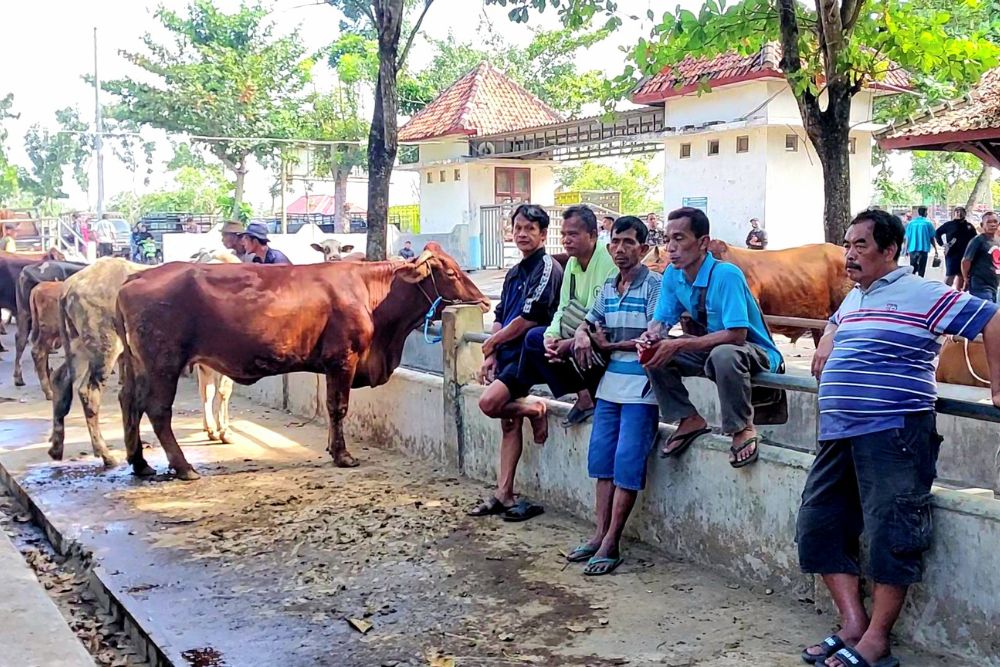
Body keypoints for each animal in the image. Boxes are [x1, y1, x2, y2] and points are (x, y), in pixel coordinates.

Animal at [115, 243, 490, 482]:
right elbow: (338, 407)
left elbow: (331, 407)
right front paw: (343, 455)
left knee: (129, 403)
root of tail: (135, 277)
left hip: (137, 366)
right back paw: (183, 467)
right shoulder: (342, 359)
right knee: (158, 411)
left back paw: (140, 463)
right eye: (451, 272)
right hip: (163, 364)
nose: (486, 302)